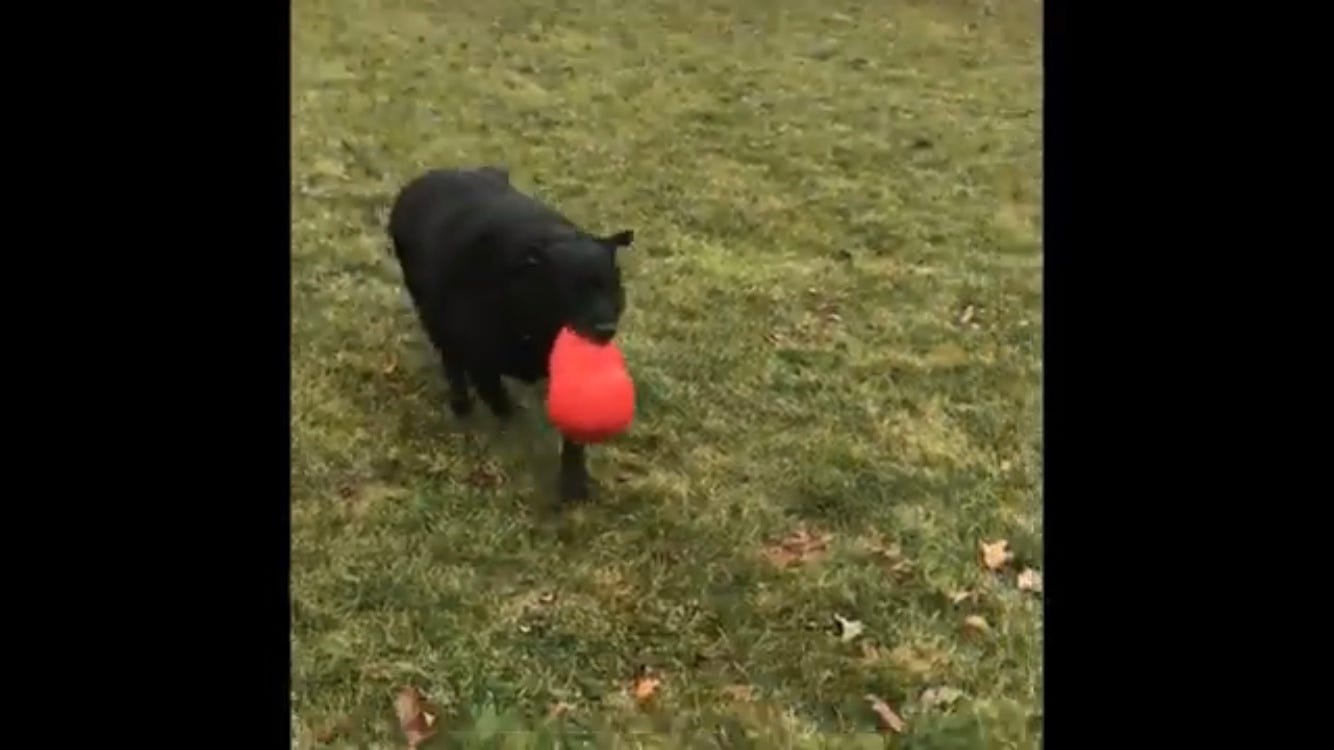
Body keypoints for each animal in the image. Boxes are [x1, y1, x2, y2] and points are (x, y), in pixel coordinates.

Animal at [387, 165, 635, 502]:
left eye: (613, 288)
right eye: (571, 289)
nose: (605, 330)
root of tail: (426, 178)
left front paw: (574, 485)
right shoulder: (481, 361)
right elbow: (502, 405)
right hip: (431, 313)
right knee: (451, 362)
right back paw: (461, 404)